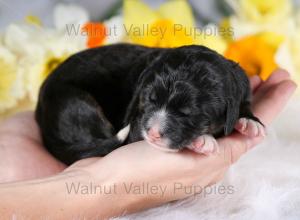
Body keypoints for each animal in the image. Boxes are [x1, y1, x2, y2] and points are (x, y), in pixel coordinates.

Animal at [35, 43, 264, 165]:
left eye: (187, 112)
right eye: (149, 99)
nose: (153, 133)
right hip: (76, 105)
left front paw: (250, 121)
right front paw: (202, 140)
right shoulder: (136, 125)